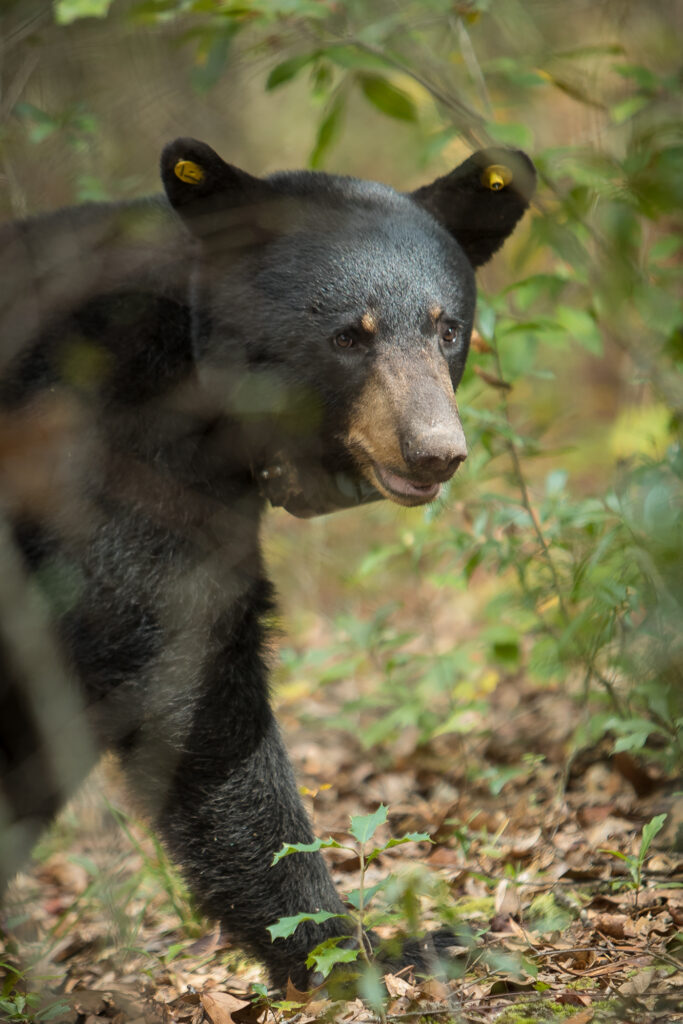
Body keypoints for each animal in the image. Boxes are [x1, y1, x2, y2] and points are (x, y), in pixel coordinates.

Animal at [0, 138, 535, 990]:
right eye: (349, 335)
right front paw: (355, 946)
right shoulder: (101, 442)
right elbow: (180, 662)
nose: (435, 451)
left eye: (446, 328)